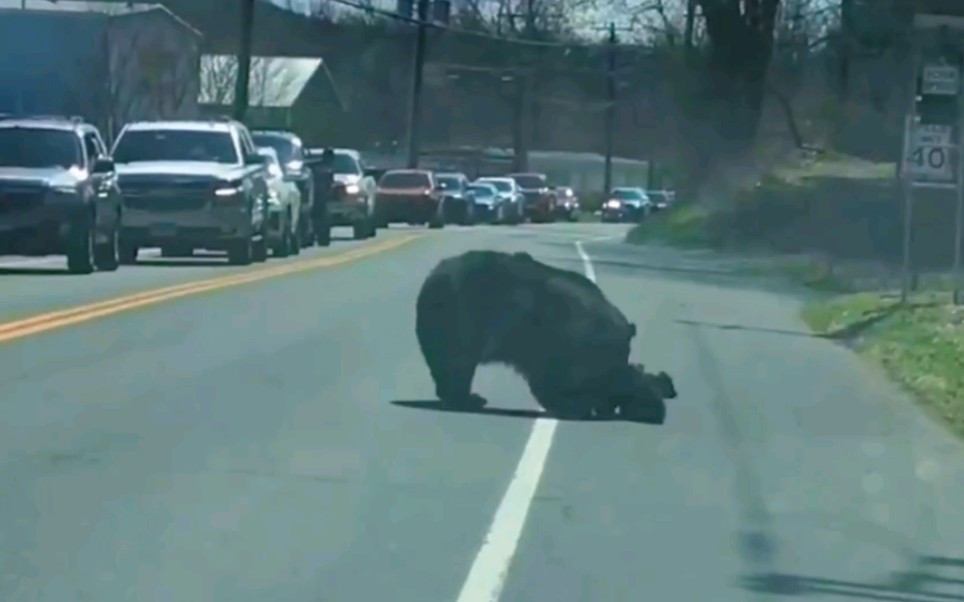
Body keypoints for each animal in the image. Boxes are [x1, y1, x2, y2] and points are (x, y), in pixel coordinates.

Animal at [414, 247, 672, 418]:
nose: (658, 411)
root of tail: (433, 274)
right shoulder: (563, 347)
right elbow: (555, 383)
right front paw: (579, 404)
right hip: (460, 315)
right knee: (457, 361)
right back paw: (468, 398)